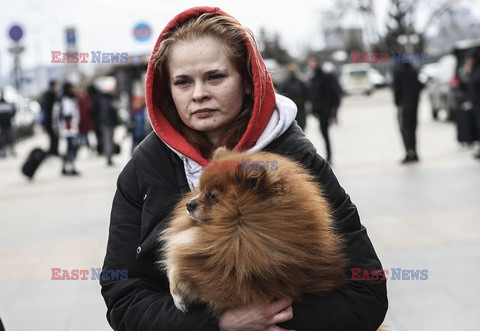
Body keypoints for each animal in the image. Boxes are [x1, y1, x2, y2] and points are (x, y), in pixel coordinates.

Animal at [159, 148, 346, 316]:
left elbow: (179, 269)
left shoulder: (224, 284)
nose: (189, 204)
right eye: (201, 190)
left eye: (212, 196)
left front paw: (178, 299)